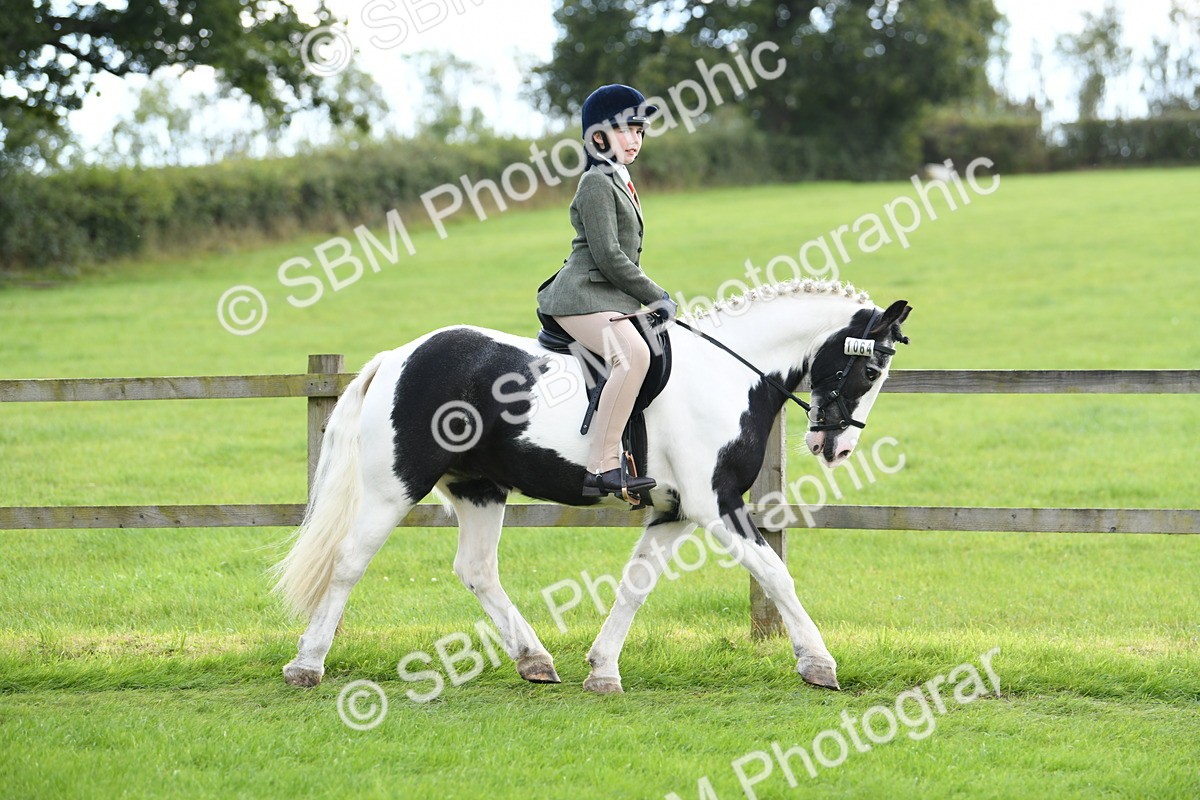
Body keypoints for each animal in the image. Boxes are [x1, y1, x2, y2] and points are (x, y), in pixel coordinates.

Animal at [272, 280, 911, 693]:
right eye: (870, 369)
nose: (836, 447)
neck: (728, 374)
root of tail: (399, 357)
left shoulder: (675, 512)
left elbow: (635, 584)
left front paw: (603, 670)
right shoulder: (715, 504)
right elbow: (775, 573)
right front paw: (818, 664)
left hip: (480, 488)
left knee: (477, 571)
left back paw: (534, 660)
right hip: (395, 487)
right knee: (349, 561)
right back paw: (308, 665)